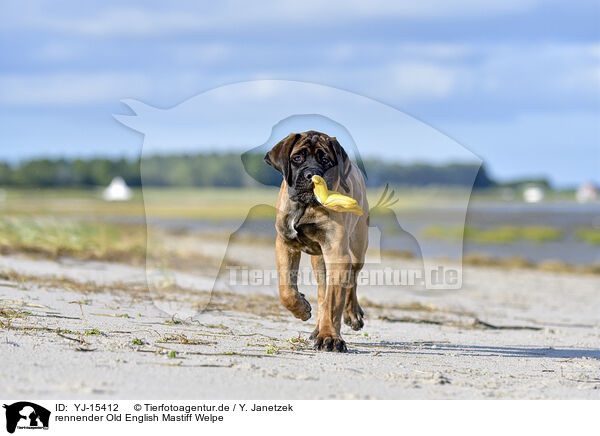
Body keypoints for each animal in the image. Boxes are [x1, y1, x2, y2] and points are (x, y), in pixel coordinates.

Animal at [264, 129, 368, 350]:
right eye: (297, 158)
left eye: (326, 160)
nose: (311, 175)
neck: (306, 207)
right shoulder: (285, 245)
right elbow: (286, 289)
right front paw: (302, 308)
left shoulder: (337, 253)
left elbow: (333, 302)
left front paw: (330, 337)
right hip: (320, 262)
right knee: (323, 292)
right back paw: (316, 327)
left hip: (357, 247)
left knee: (351, 280)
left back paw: (352, 314)